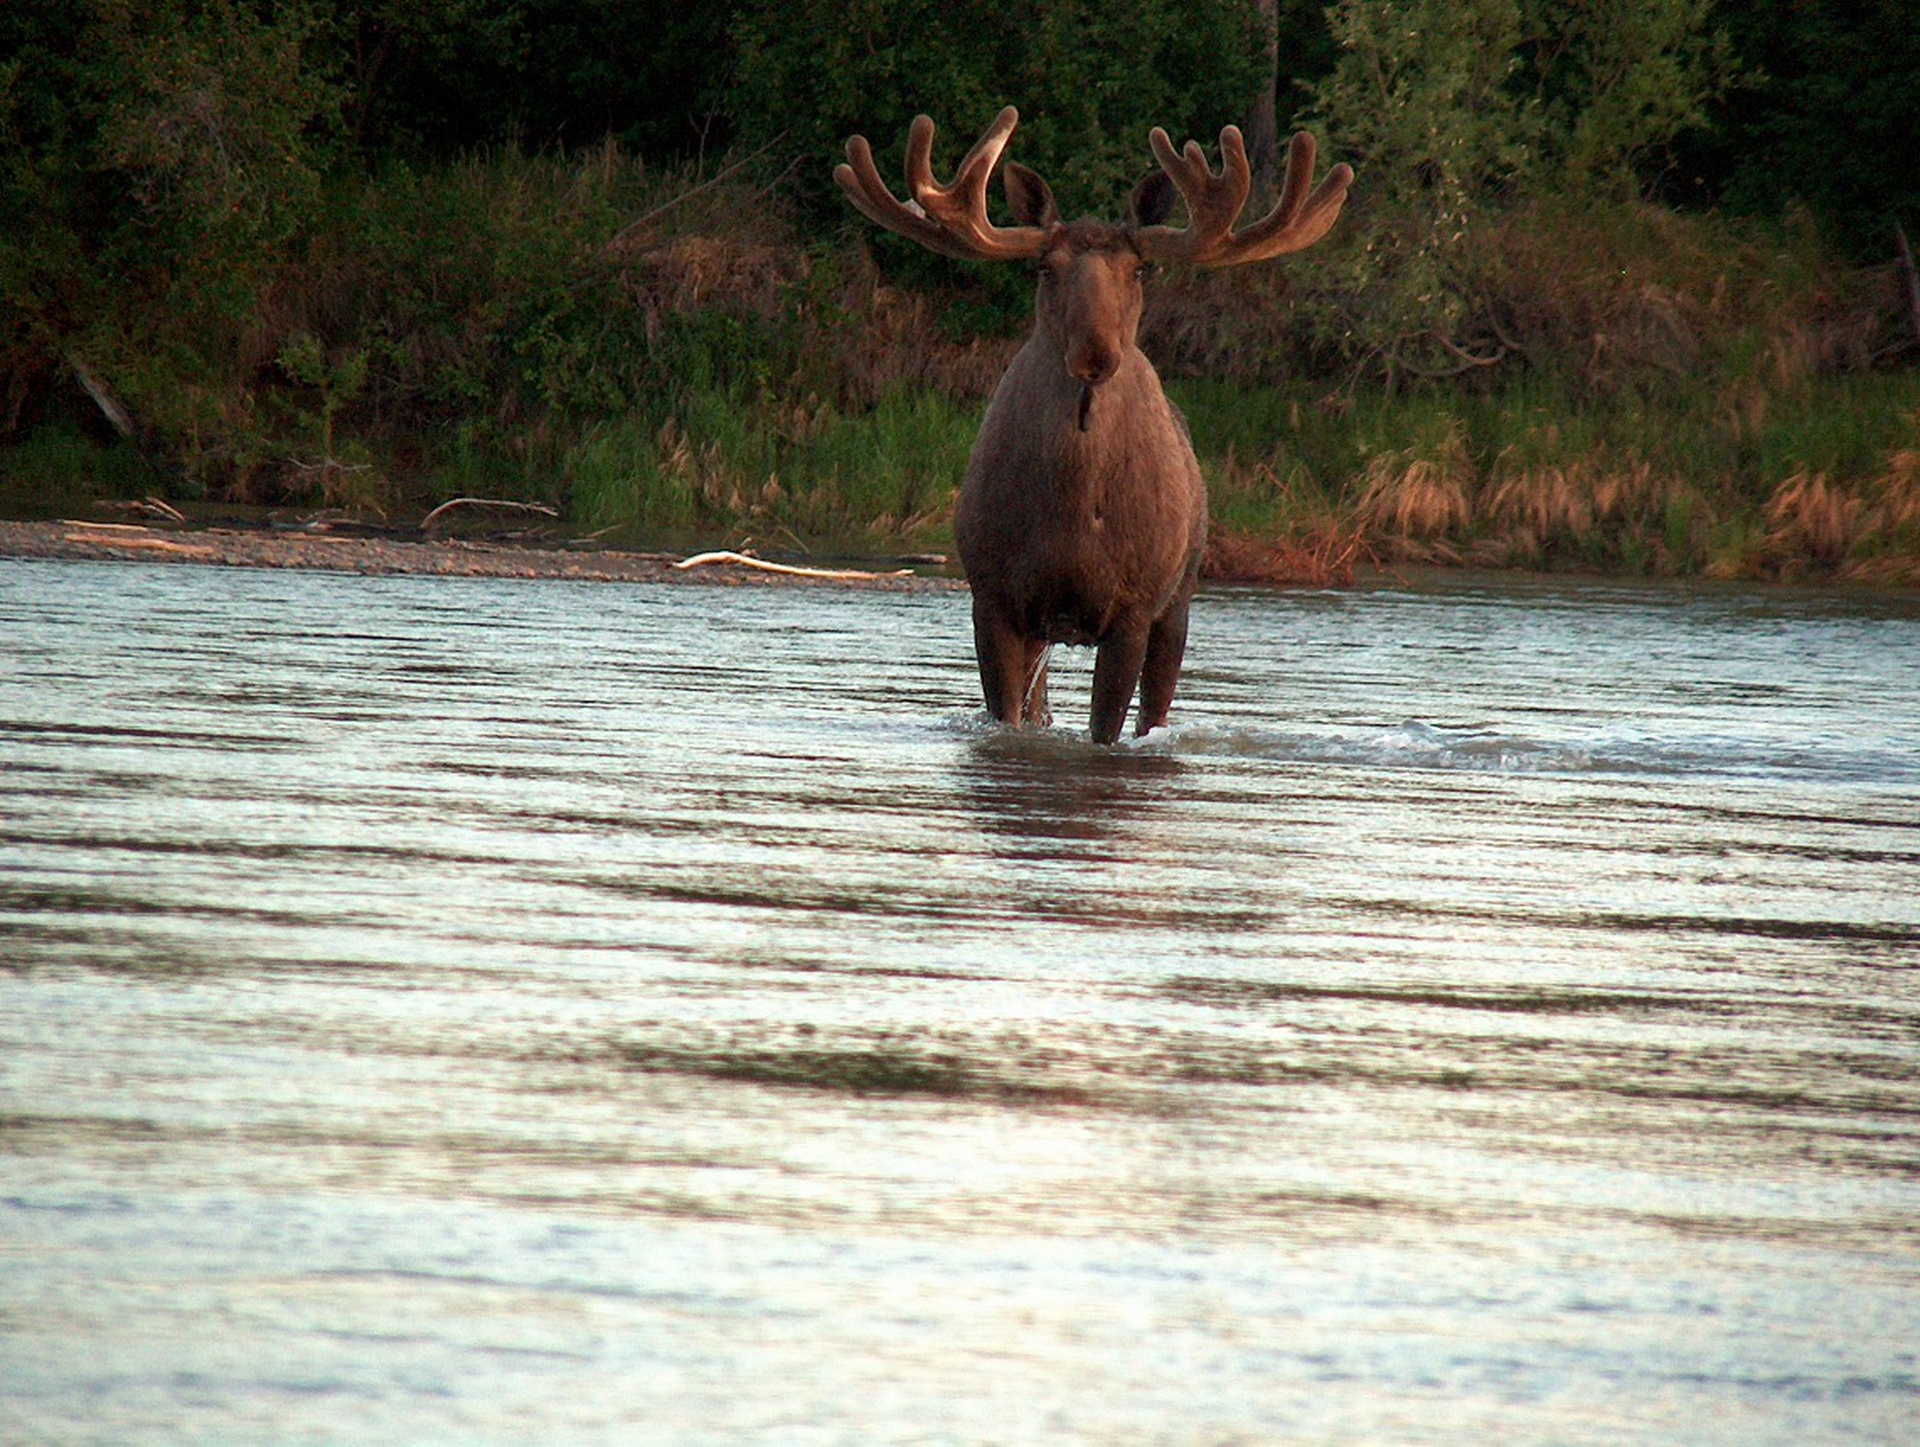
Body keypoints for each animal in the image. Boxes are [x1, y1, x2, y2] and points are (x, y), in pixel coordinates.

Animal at [835, 107, 1351, 743]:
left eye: (1140, 269)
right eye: (1043, 268)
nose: (1095, 353)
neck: (1072, 517)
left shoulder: (1134, 606)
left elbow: (1107, 726)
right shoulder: (994, 595)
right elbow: (1010, 715)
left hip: (1180, 596)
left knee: (1155, 708)